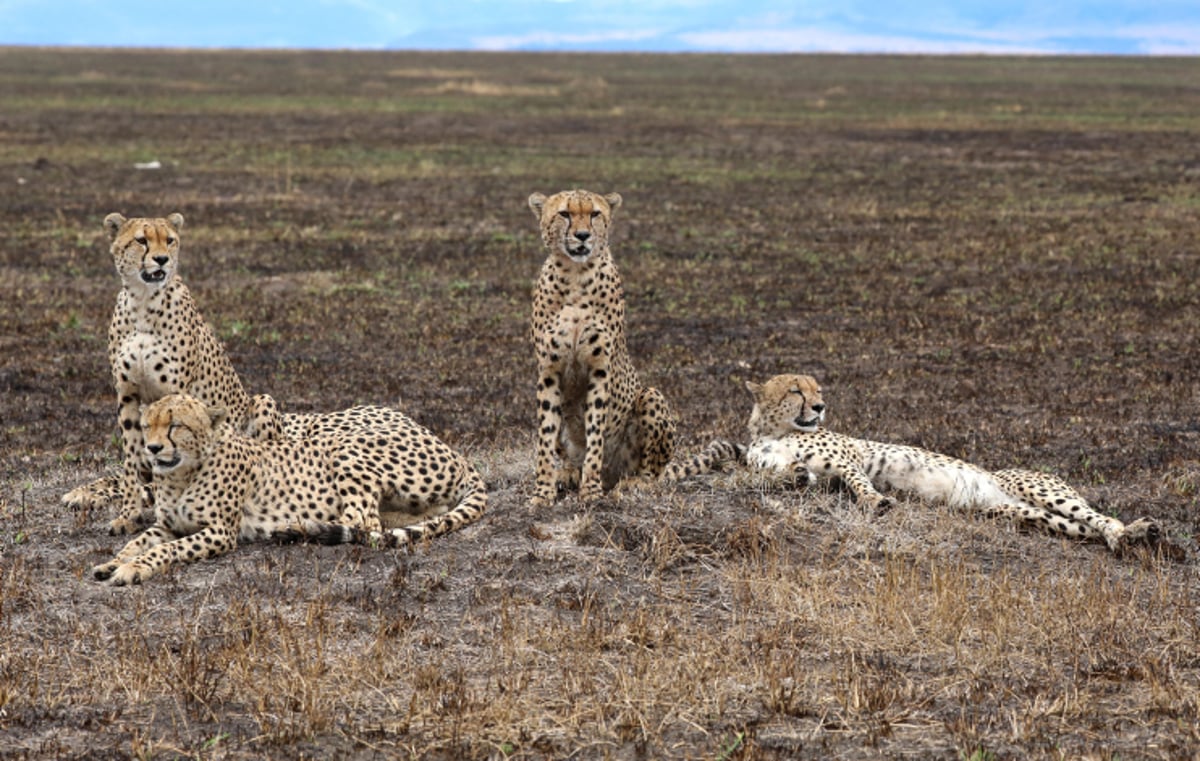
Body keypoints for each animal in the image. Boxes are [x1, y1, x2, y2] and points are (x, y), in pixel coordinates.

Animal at [92, 393, 487, 583]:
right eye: (147, 425)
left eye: (176, 425)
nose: (152, 448)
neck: (180, 475)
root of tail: (455, 452)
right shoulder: (166, 526)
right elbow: (136, 542)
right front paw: (112, 563)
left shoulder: (219, 533)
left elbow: (164, 551)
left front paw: (132, 569)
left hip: (345, 445)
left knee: (364, 523)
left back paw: (301, 528)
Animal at [525, 188, 676, 504]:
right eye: (564, 213)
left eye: (595, 213)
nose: (582, 236)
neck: (574, 275)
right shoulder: (549, 371)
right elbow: (545, 435)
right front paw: (543, 492)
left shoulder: (599, 369)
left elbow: (595, 432)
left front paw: (591, 490)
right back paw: (568, 473)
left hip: (650, 395)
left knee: (653, 471)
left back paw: (633, 483)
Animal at [672, 372, 1156, 554]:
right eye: (795, 389)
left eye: (817, 388)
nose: (822, 406)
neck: (775, 432)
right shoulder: (790, 470)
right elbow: (786, 477)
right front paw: (794, 474)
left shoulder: (849, 461)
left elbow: (859, 484)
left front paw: (877, 503)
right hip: (1018, 512)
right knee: (1083, 527)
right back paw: (1129, 538)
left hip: (1038, 489)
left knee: (1101, 516)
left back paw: (1133, 532)